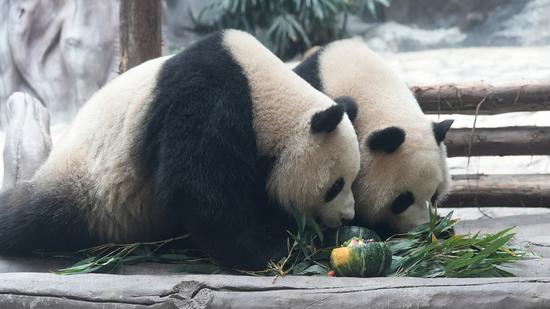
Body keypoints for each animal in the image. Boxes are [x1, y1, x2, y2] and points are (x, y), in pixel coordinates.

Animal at [0, 30, 362, 268]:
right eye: (335, 185)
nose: (347, 216)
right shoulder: (210, 95)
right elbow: (196, 186)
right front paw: (269, 249)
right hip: (86, 184)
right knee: (32, 217)